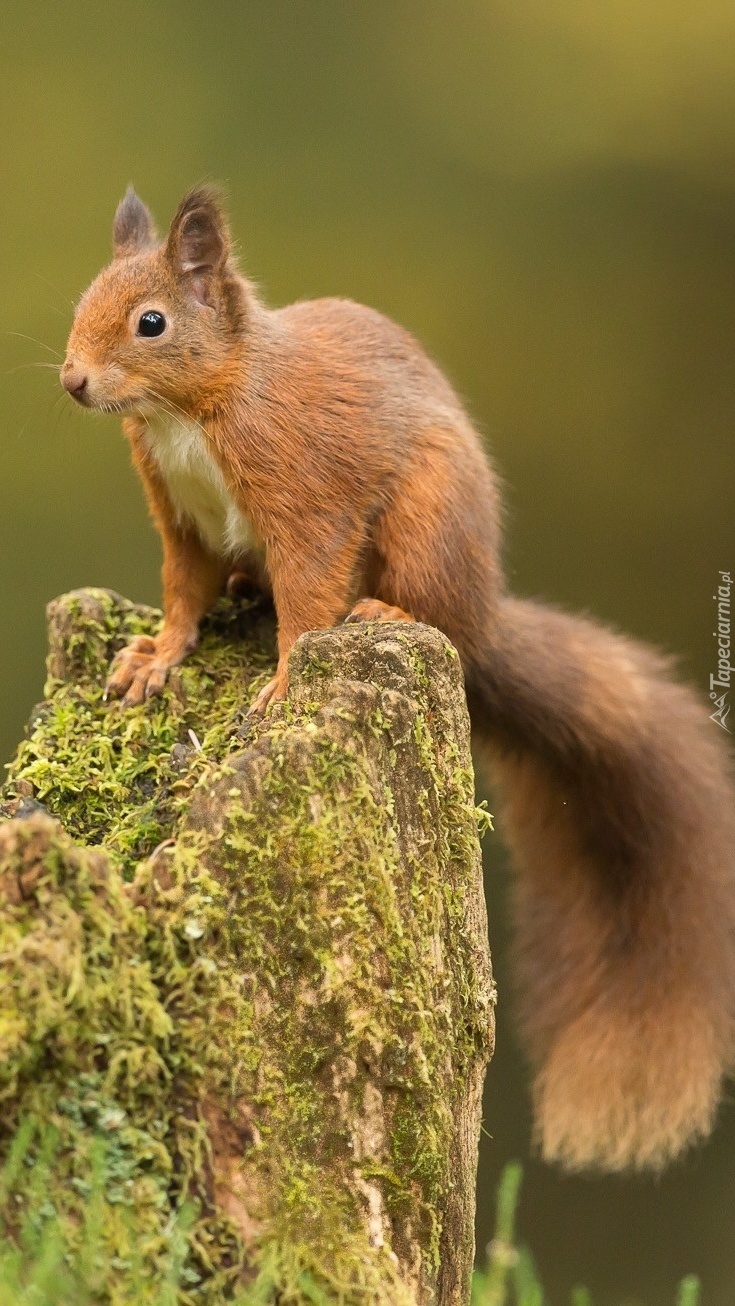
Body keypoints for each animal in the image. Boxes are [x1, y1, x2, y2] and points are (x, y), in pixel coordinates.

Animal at [61, 184, 735, 1175]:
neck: (195, 409)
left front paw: (285, 677)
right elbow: (182, 594)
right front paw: (155, 657)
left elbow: (308, 590)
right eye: (85, 299)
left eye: (151, 323)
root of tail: (485, 615)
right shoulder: (177, 516)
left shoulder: (305, 495)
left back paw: (383, 612)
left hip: (429, 519)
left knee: (426, 609)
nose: (73, 382)